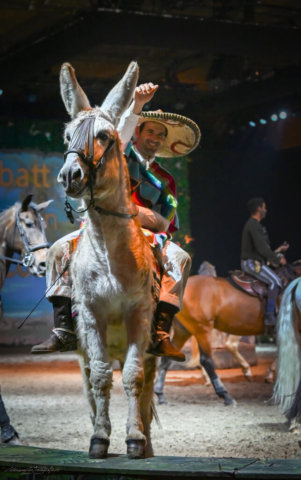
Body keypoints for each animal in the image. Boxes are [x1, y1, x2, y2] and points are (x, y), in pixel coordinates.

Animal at [57, 62, 158, 460]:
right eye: (67, 135)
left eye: (103, 135)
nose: (70, 174)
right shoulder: (90, 315)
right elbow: (100, 377)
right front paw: (99, 438)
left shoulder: (138, 315)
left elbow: (133, 376)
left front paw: (135, 439)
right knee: (90, 382)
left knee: (145, 386)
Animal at [154, 274, 300, 404]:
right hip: (203, 328)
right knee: (207, 360)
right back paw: (225, 394)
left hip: (183, 331)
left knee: (167, 359)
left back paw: (160, 394)